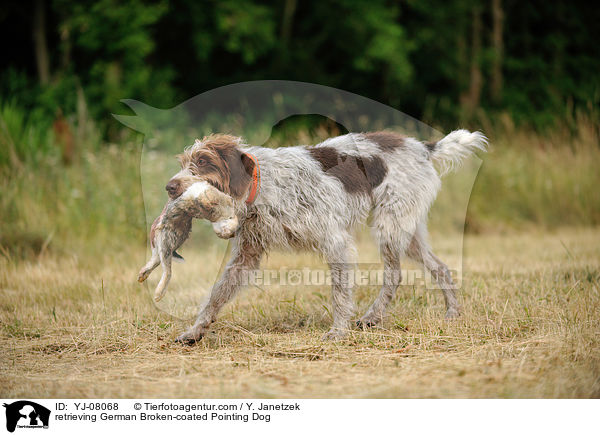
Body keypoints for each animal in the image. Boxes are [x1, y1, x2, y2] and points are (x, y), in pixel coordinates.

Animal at [161, 131, 488, 342]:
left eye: (203, 162)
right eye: (185, 162)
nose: (170, 187)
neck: (265, 185)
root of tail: (423, 147)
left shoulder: (336, 242)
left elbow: (340, 294)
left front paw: (338, 331)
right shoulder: (246, 256)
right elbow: (215, 296)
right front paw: (196, 330)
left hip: (390, 227)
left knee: (395, 274)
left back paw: (376, 315)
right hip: (407, 234)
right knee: (439, 267)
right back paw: (450, 313)